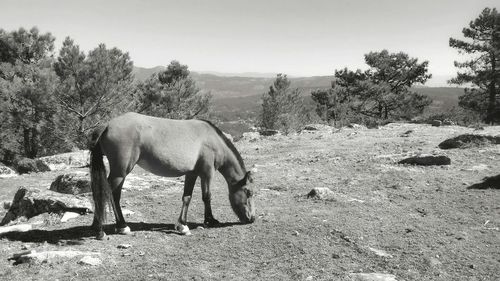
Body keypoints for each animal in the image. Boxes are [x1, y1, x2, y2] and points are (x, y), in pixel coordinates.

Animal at [87, 111, 256, 238]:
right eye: (249, 192)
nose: (252, 218)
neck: (212, 139)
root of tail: (108, 125)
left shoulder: (192, 174)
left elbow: (187, 197)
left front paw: (182, 225)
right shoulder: (207, 173)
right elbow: (207, 197)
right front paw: (210, 220)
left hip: (120, 174)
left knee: (114, 196)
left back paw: (120, 226)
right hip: (120, 172)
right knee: (105, 194)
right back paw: (100, 231)